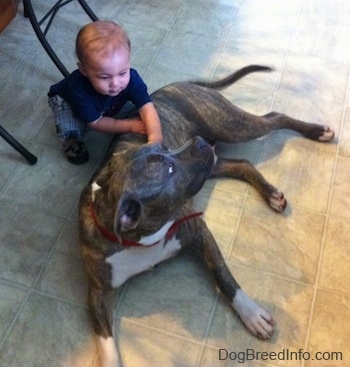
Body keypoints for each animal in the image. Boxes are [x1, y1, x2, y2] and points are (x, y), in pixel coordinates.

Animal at [78, 64, 334, 366]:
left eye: (164, 146)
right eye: (168, 169)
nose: (197, 142)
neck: (142, 240)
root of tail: (171, 87)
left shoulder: (200, 233)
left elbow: (224, 277)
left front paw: (251, 314)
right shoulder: (96, 290)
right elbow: (104, 340)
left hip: (232, 125)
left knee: (274, 117)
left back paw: (317, 132)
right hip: (213, 162)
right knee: (242, 164)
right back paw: (271, 193)